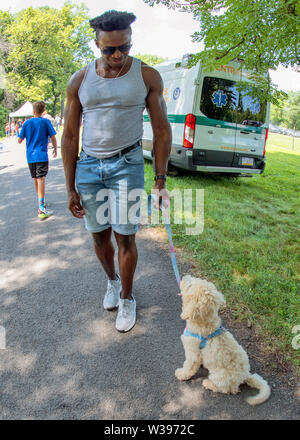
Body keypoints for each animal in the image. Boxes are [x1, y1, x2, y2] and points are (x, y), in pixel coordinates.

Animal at [175, 276, 270, 406]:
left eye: (190, 285)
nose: (185, 277)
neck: (204, 325)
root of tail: (245, 375)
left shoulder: (192, 354)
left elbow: (188, 367)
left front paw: (181, 374)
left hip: (220, 377)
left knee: (228, 389)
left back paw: (208, 384)